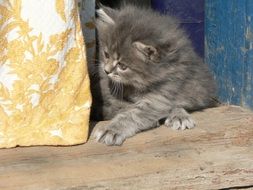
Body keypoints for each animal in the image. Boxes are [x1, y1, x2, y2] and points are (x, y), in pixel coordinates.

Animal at [90, 5, 216, 145]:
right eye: (106, 54)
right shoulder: (105, 90)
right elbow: (125, 107)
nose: (106, 71)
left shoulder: (166, 92)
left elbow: (137, 112)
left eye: (122, 66)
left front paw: (112, 130)